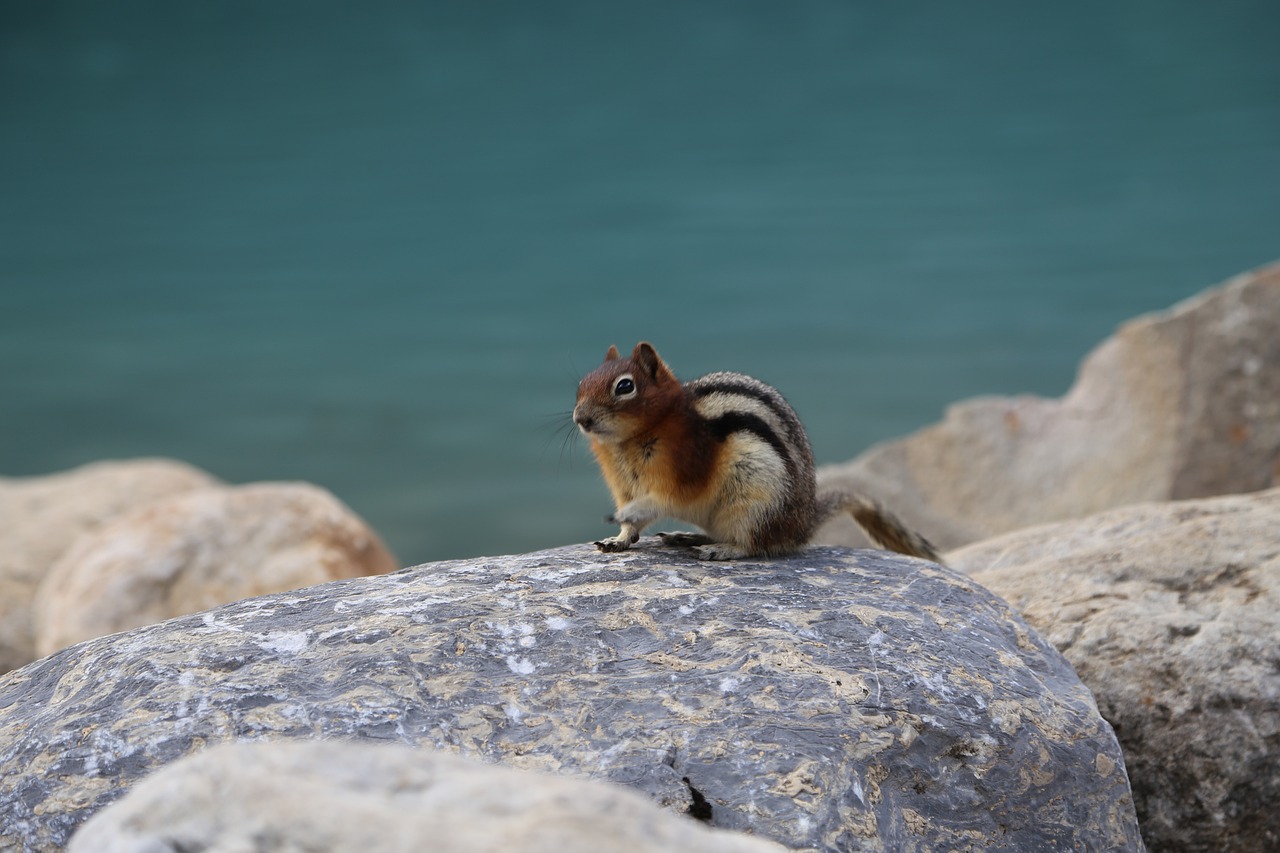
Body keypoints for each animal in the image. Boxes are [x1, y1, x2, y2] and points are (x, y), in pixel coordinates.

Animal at [573, 343, 942, 560]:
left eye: (625, 386)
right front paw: (619, 537)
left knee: (754, 544)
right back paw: (688, 538)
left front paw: (627, 515)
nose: (580, 418)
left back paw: (722, 549)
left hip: (755, 501)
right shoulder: (623, 484)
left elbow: (663, 500)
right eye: (581, 384)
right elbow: (631, 521)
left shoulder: (685, 468)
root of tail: (803, 525)